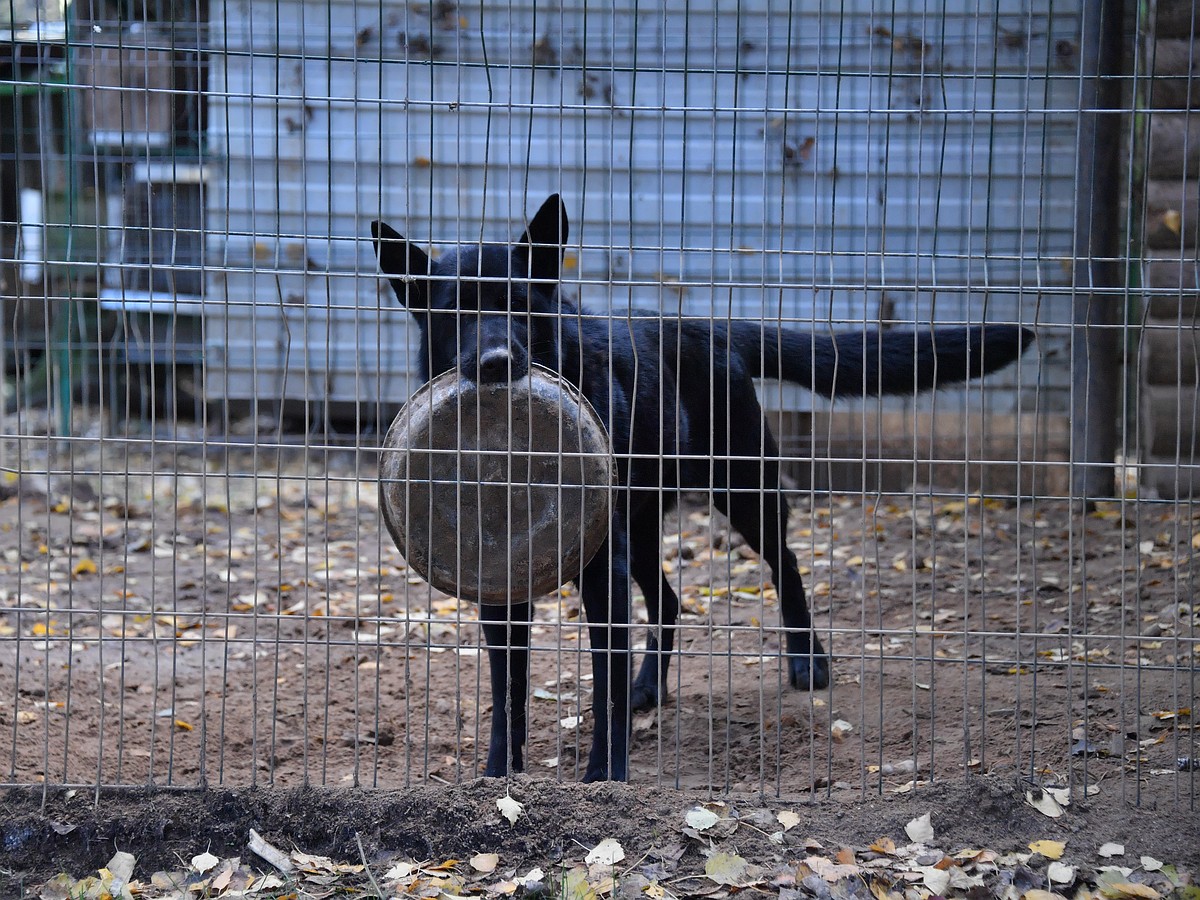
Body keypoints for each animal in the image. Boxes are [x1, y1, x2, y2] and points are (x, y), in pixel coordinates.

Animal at [372, 192, 1032, 782]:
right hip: (640, 526)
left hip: (741, 492)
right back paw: (648, 686)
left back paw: (807, 661)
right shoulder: (500, 579)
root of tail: (711, 327)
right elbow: (508, 691)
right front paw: (497, 775)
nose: (495, 364)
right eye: (455, 314)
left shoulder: (603, 569)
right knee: (666, 601)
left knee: (786, 563)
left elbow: (603, 681)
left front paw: (605, 776)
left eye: (520, 306)